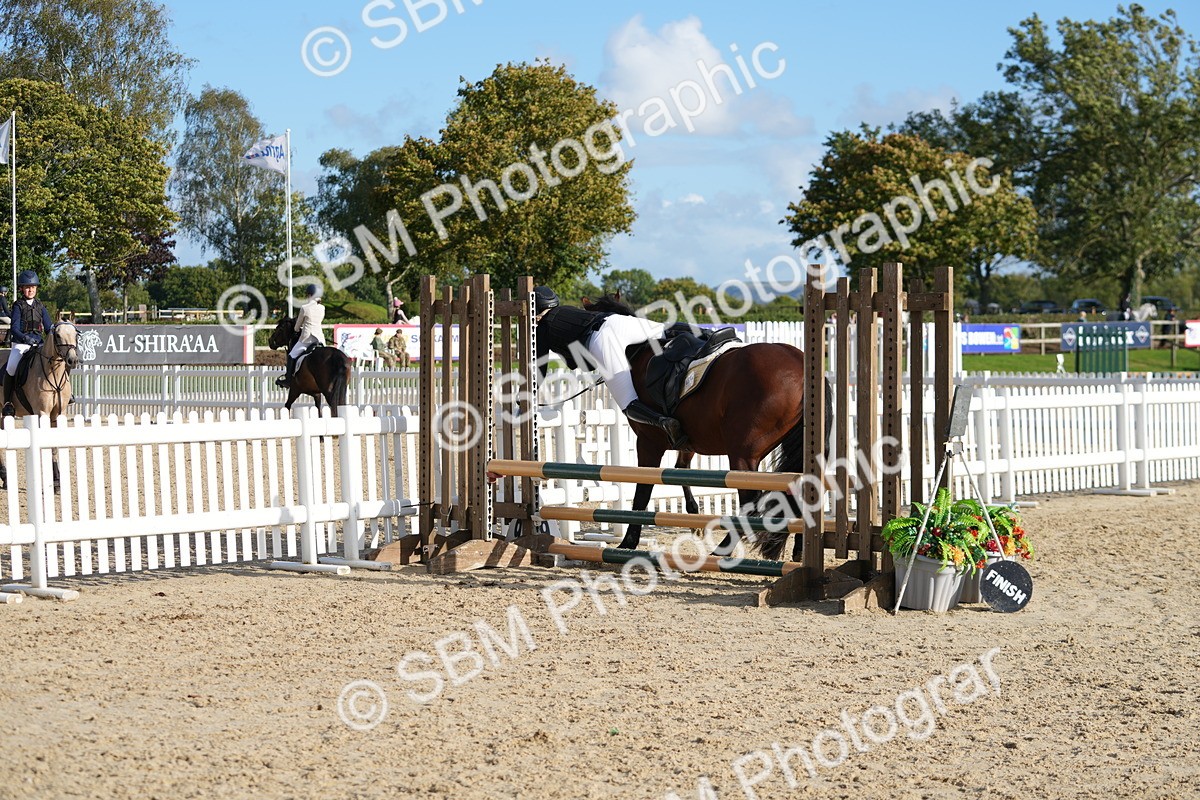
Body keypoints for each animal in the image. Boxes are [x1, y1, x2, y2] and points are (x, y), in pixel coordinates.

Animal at [0, 321, 81, 492]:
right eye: (58, 335)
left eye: (75, 335)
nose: (72, 360)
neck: (53, 373)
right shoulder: (42, 412)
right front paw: (53, 481)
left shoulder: (59, 414)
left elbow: (55, 445)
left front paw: (57, 481)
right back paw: (5, 478)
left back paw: (4, 478)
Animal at [580, 294, 829, 561]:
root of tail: (801, 365)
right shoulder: (686, 442)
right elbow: (680, 471)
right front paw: (693, 516)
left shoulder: (649, 443)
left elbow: (642, 492)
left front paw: (629, 541)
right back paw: (800, 550)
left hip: (743, 454)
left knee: (750, 503)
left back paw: (723, 549)